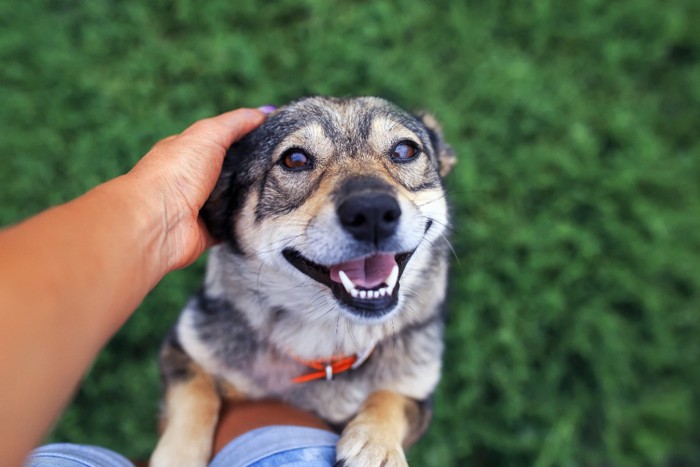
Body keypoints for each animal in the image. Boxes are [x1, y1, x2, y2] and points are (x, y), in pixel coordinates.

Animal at [150, 97, 456, 466]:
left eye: (405, 150)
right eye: (294, 159)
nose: (372, 212)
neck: (324, 333)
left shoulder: (419, 395)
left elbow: (390, 398)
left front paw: (376, 444)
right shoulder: (184, 348)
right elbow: (196, 394)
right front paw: (178, 454)